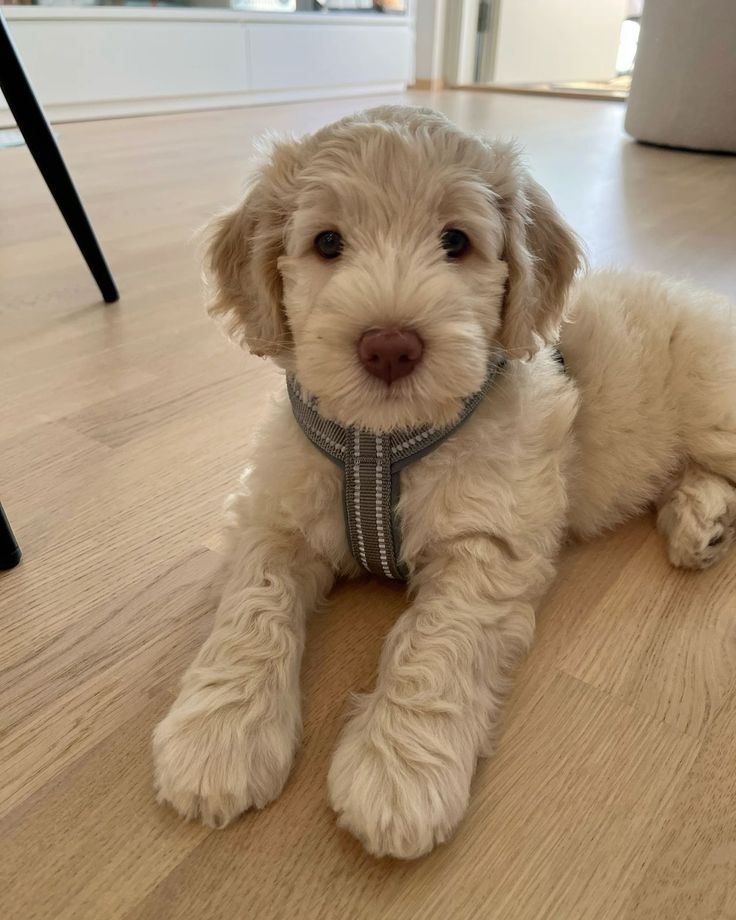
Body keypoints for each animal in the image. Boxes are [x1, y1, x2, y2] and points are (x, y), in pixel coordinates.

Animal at [151, 108, 736, 864]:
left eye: (456, 241)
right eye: (327, 242)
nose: (390, 346)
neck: (380, 441)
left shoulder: (487, 540)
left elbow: (437, 643)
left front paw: (398, 771)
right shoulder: (274, 513)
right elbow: (253, 608)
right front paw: (217, 733)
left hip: (717, 409)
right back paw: (701, 521)